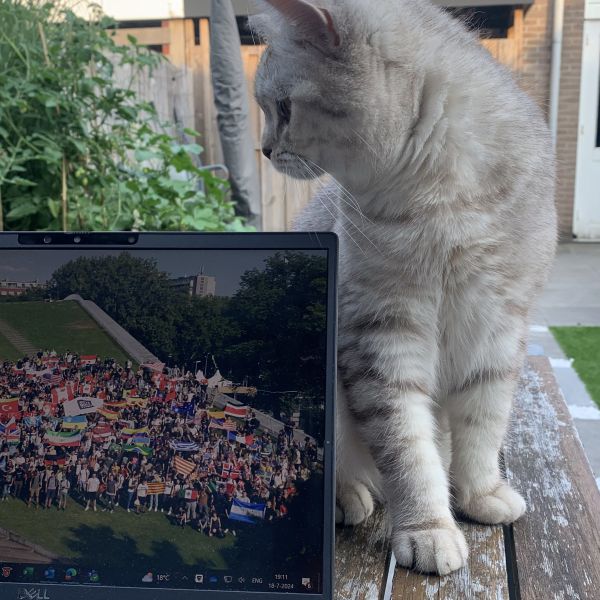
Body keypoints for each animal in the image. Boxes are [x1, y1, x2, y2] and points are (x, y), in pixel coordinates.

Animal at [250, 0, 556, 576]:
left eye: (283, 107)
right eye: (267, 108)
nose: (264, 149)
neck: (442, 201)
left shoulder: (498, 329)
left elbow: (482, 427)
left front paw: (479, 494)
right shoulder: (384, 336)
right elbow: (408, 451)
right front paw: (428, 529)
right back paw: (347, 500)